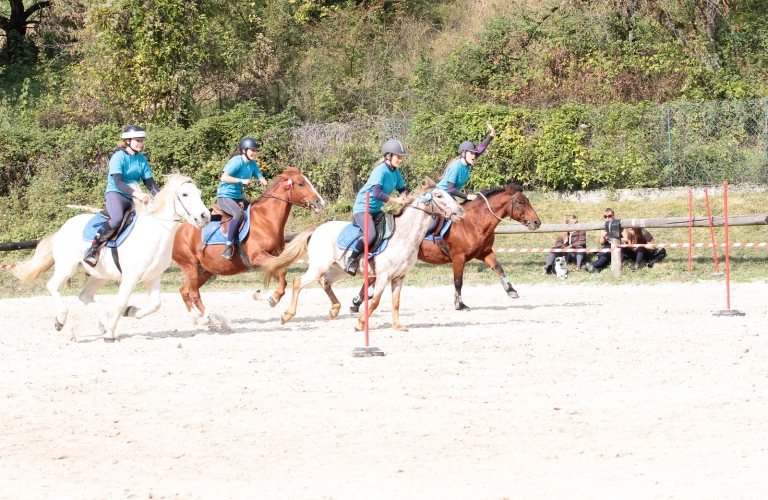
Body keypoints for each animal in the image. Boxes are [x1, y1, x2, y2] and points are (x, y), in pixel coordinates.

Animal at [12, 174, 210, 342]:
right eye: (184, 194)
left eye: (199, 193)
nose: (205, 216)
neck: (154, 233)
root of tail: (62, 229)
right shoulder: (130, 277)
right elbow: (121, 303)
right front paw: (110, 334)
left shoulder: (153, 277)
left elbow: (156, 304)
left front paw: (131, 312)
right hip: (66, 268)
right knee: (52, 286)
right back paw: (61, 320)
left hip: (100, 275)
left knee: (84, 295)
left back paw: (103, 323)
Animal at [172, 167, 326, 324]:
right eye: (300, 184)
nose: (320, 202)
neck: (266, 220)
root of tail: (177, 231)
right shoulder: (257, 257)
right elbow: (282, 274)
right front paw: (273, 298)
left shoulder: (273, 259)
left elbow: (281, 276)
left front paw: (265, 296)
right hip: (190, 266)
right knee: (194, 293)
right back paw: (209, 319)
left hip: (204, 271)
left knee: (184, 290)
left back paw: (197, 319)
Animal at [262, 184, 468, 332]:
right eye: (439, 196)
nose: (461, 211)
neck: (404, 235)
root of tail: (317, 229)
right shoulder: (383, 276)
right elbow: (375, 301)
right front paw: (361, 323)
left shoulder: (399, 277)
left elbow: (395, 302)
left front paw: (397, 326)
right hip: (319, 266)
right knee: (298, 282)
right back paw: (287, 315)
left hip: (339, 269)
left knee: (325, 282)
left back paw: (334, 309)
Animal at [350, 182, 540, 310]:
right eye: (521, 202)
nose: (537, 222)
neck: (474, 222)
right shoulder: (458, 258)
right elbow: (458, 282)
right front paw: (459, 304)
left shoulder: (485, 252)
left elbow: (499, 268)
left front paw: (511, 290)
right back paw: (358, 301)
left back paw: (359, 301)